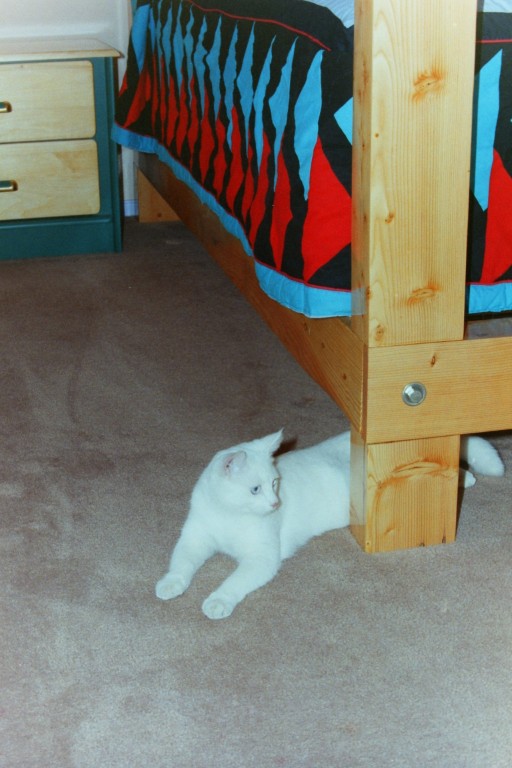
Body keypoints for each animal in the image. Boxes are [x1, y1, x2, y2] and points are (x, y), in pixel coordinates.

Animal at [155, 430, 504, 620]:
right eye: (256, 489)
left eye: (274, 483)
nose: (275, 504)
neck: (230, 515)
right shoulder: (194, 537)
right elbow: (181, 563)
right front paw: (171, 584)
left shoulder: (261, 558)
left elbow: (233, 582)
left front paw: (217, 601)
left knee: (441, 469)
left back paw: (464, 478)